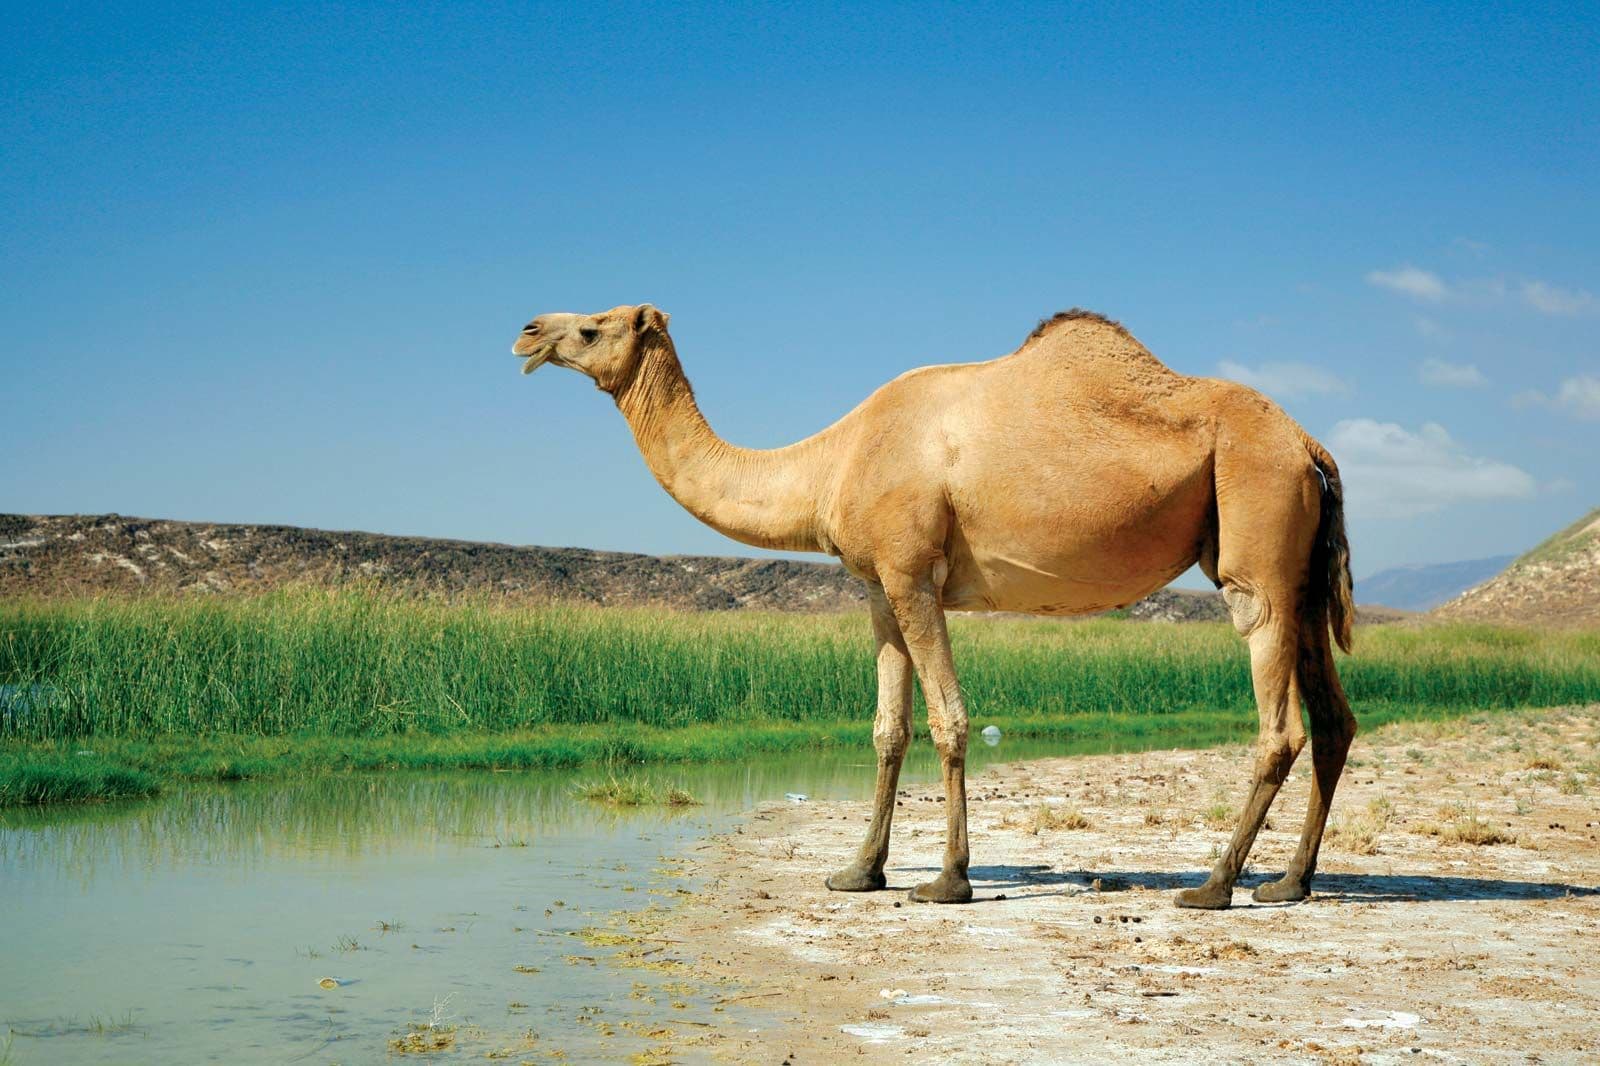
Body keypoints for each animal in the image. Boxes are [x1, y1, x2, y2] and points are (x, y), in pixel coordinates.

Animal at [511, 304, 1357, 909]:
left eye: (592, 325)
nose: (527, 331)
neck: (831, 462)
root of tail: (1310, 445)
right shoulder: (878, 588)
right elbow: (889, 729)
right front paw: (859, 871)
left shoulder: (914, 572)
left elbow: (950, 720)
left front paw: (948, 879)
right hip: (1302, 569)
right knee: (1334, 719)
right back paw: (1290, 882)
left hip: (1257, 532)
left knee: (1278, 720)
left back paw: (1213, 887)